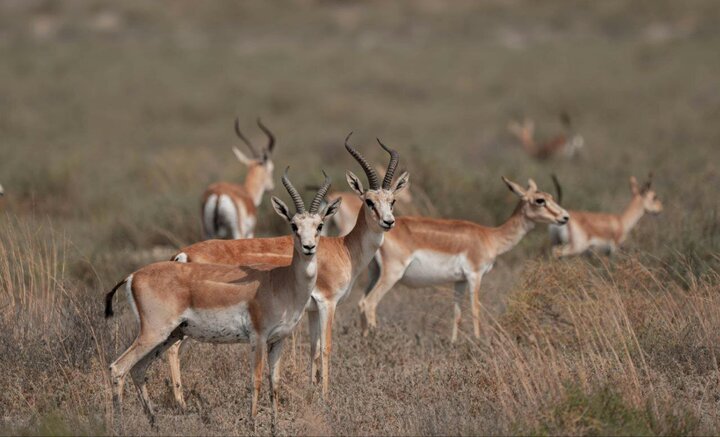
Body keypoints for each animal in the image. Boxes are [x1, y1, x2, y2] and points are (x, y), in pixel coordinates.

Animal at [104, 170, 340, 432]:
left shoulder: (278, 340)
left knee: (138, 370)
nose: (309, 247)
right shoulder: (258, 339)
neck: (281, 281)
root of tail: (133, 275)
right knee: (118, 368)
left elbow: (275, 383)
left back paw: (155, 423)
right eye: (294, 225)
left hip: (170, 335)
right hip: (154, 333)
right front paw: (253, 425)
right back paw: (120, 426)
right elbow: (256, 380)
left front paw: (274, 427)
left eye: (319, 225)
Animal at [169, 134, 409, 400]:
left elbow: (314, 348)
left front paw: (313, 389)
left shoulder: (312, 310)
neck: (344, 248)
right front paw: (326, 396)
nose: (388, 222)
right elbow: (326, 348)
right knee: (173, 350)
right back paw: (179, 402)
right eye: (369, 201)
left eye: (392, 200)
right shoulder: (327, 303)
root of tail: (183, 255)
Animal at [358, 177, 569, 342]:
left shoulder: (459, 281)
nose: (565, 217)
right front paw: (477, 342)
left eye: (551, 197)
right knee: (370, 303)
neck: (489, 237)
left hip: (374, 274)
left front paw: (454, 343)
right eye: (540, 200)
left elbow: (457, 314)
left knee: (361, 303)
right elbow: (475, 310)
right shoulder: (475, 275)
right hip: (392, 274)